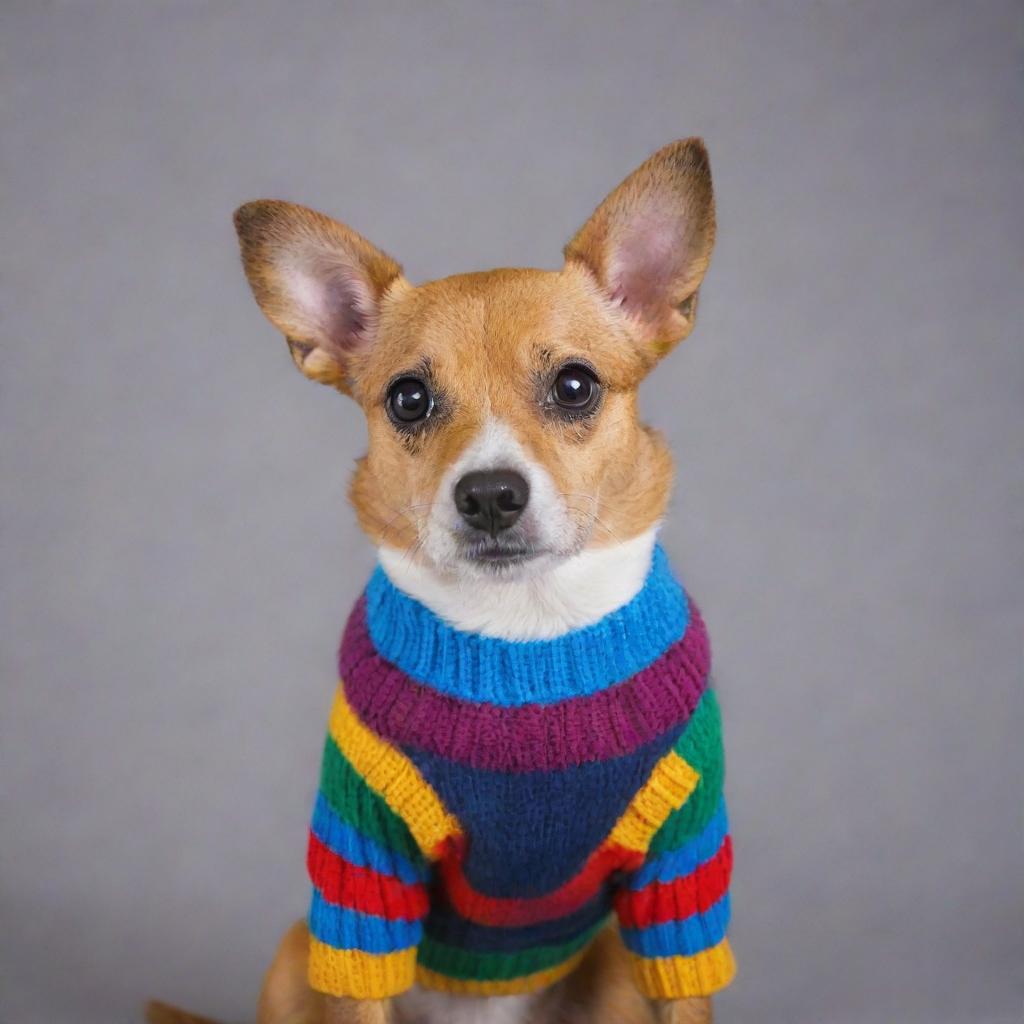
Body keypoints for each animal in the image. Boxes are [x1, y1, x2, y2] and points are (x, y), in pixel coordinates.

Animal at [149, 138, 729, 1024]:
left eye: (575, 385)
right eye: (409, 399)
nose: (489, 493)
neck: (527, 637)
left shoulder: (680, 880)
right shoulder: (363, 881)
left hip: (614, 972)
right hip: (294, 955)